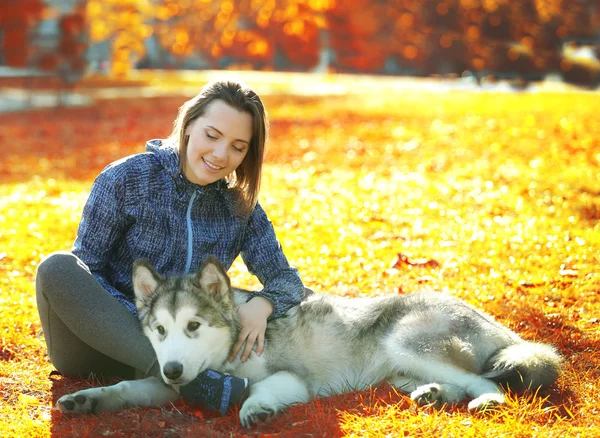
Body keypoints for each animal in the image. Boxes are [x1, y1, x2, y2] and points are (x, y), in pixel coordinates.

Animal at [57, 256, 564, 428]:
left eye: (194, 327)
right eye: (160, 331)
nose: (174, 369)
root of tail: (494, 320)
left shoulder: (292, 377)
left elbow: (263, 388)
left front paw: (255, 408)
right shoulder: (166, 383)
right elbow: (123, 388)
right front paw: (86, 400)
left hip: (404, 341)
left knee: (485, 381)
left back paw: (486, 402)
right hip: (402, 369)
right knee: (456, 381)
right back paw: (435, 395)